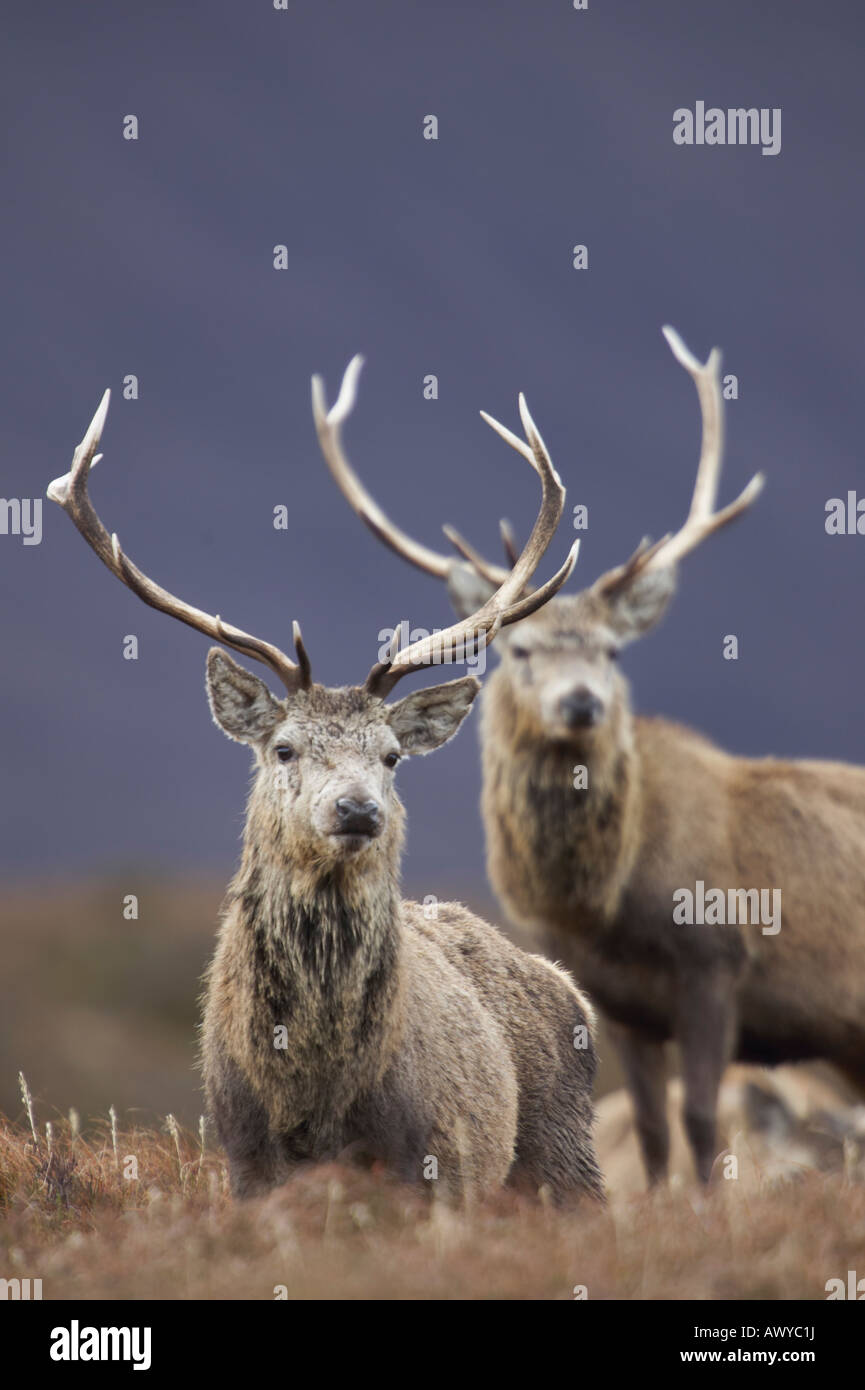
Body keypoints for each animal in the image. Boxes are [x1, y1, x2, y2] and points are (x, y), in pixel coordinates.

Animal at [47, 361, 603, 1206]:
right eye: (283, 748)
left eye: (391, 756)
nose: (356, 809)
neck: (316, 1099)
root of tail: (572, 992)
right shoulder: (246, 1165)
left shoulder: (434, 1167)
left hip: (568, 1160)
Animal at [322, 322, 865, 1184]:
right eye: (519, 651)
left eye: (611, 651)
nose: (581, 703)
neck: (607, 901)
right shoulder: (620, 1003)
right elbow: (649, 1131)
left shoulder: (717, 964)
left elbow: (701, 1120)